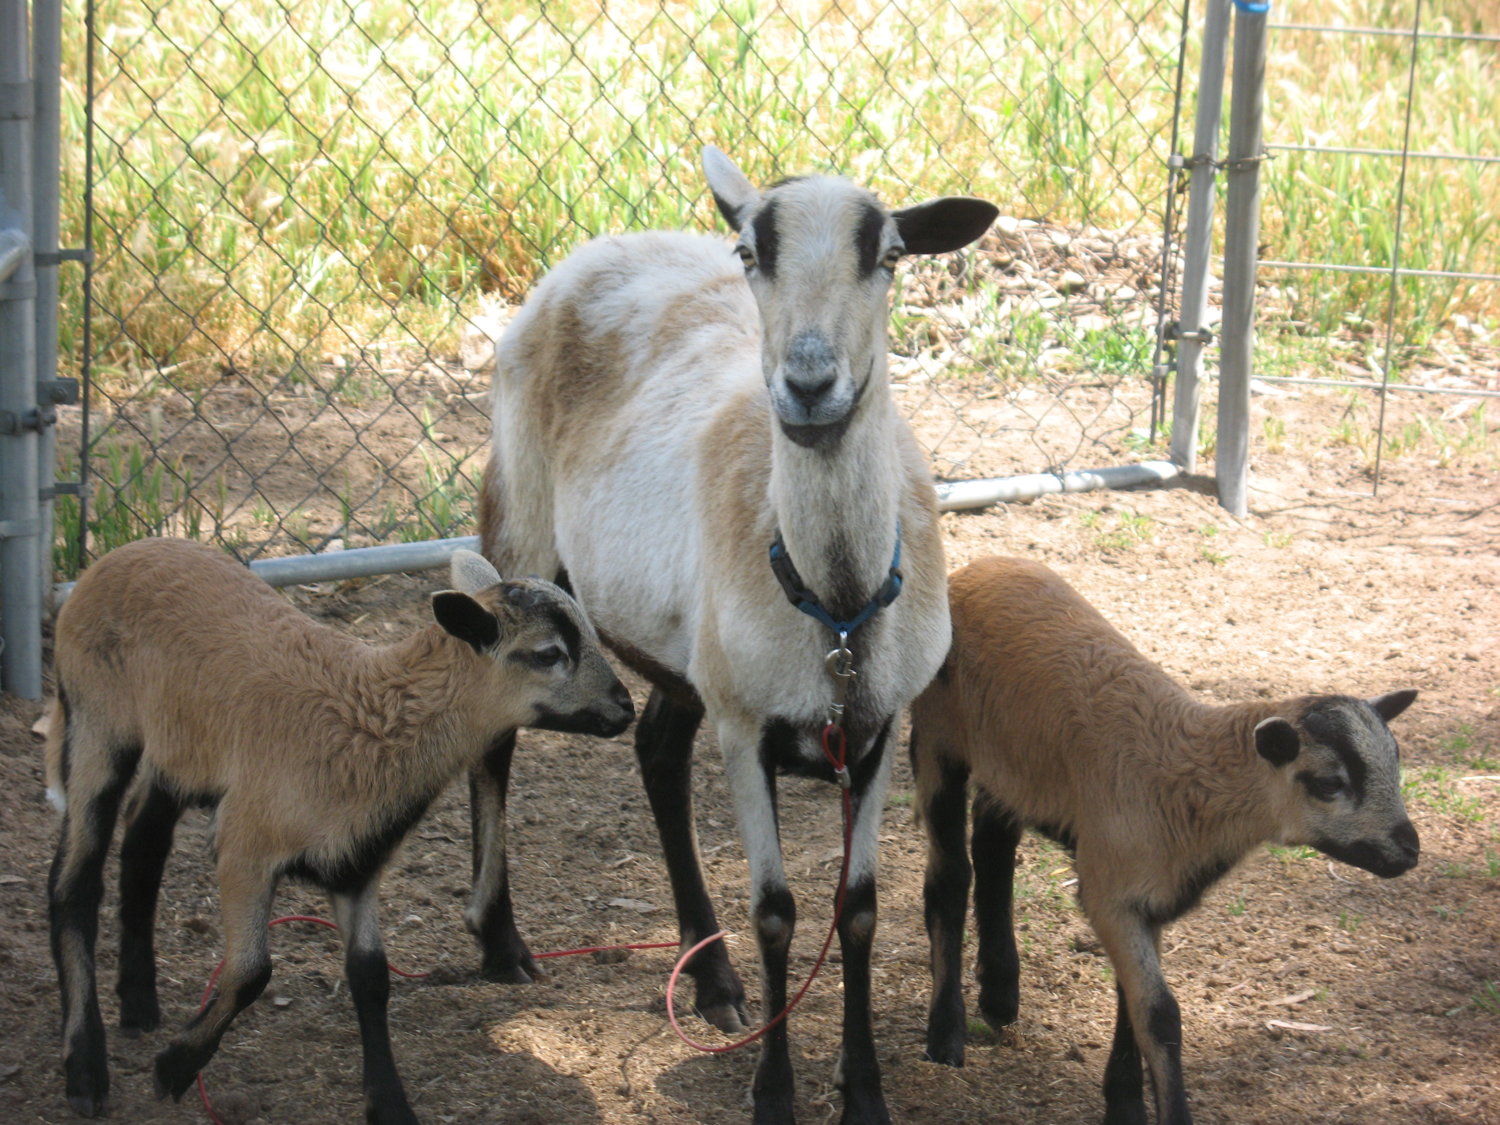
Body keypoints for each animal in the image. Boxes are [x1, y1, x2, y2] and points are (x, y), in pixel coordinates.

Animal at [45, 540, 633, 1125]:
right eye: (548, 654)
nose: (625, 708)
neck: (374, 719)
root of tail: (124, 554)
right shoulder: (244, 845)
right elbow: (252, 971)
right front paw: (174, 1068)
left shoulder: (357, 864)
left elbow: (371, 978)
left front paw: (389, 1103)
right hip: (96, 722)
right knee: (74, 884)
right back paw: (85, 1068)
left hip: (178, 752)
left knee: (143, 846)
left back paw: (138, 1002)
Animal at [471, 145, 996, 1122]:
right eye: (751, 253)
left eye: (890, 256)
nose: (809, 383)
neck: (834, 604)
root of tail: (607, 244)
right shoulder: (747, 726)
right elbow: (779, 912)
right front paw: (775, 1093)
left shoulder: (875, 728)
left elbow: (858, 910)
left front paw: (863, 1091)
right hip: (518, 519)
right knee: (494, 736)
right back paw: (499, 940)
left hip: (689, 652)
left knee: (656, 751)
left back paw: (712, 979)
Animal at [912, 558, 1416, 1125]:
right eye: (1329, 784)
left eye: (1396, 765)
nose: (1409, 849)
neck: (1181, 783)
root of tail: (979, 568)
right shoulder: (1113, 896)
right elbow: (1160, 1015)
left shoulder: (1144, 898)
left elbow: (1134, 1004)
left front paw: (1125, 1103)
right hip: (937, 736)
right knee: (950, 877)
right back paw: (945, 1037)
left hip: (1013, 765)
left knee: (994, 848)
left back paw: (1000, 995)